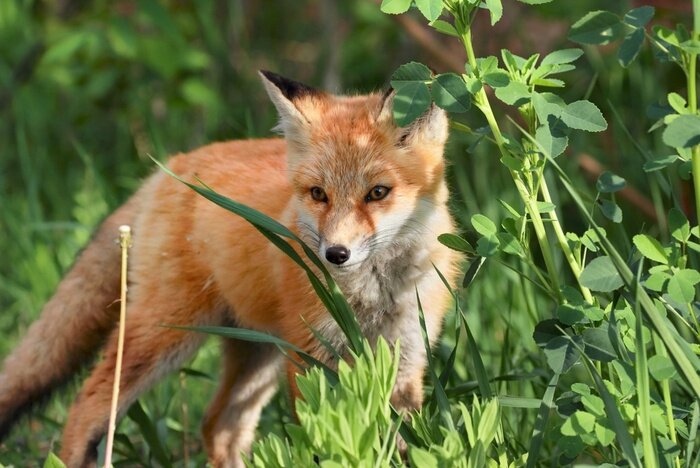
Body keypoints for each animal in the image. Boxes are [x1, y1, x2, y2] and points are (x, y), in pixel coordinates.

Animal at [0, 71, 459, 467]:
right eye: (319, 194)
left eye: (378, 192)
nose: (336, 254)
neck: (372, 297)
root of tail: (168, 168)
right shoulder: (311, 357)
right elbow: (322, 436)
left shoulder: (407, 356)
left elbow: (403, 442)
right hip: (165, 333)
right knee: (87, 405)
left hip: (257, 353)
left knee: (218, 424)